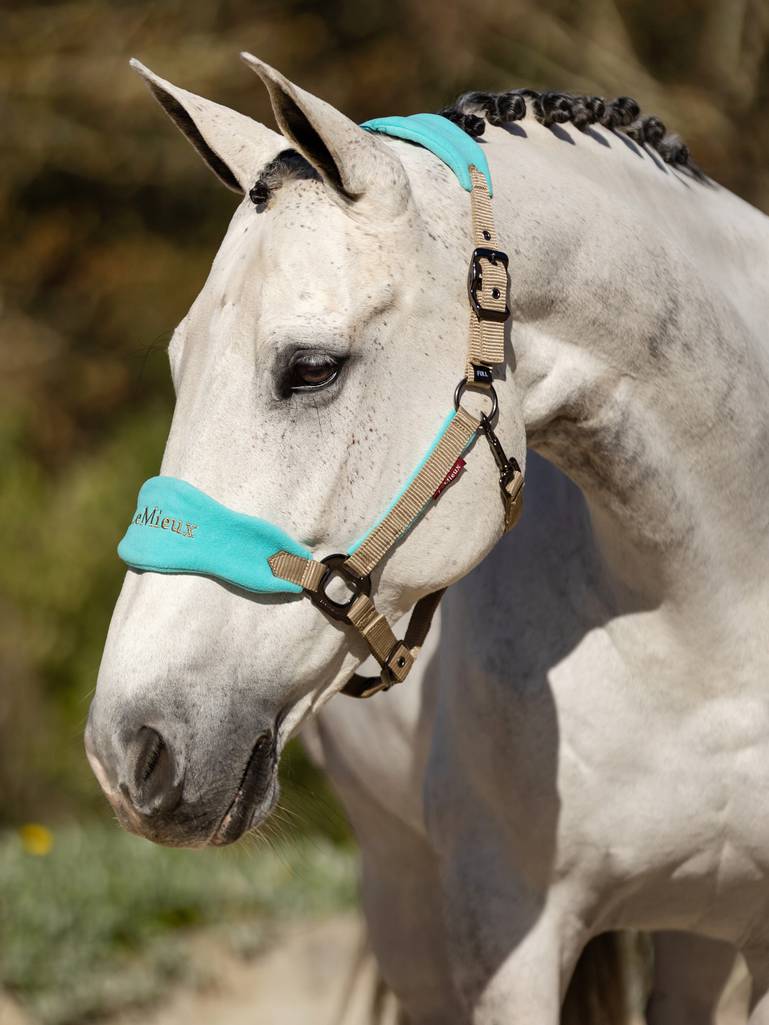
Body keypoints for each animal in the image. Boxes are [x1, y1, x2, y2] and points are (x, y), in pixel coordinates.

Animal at [85, 54, 769, 1024]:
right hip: (401, 891)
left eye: (311, 368)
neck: (709, 623)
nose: (128, 750)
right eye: (181, 363)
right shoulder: (504, 933)